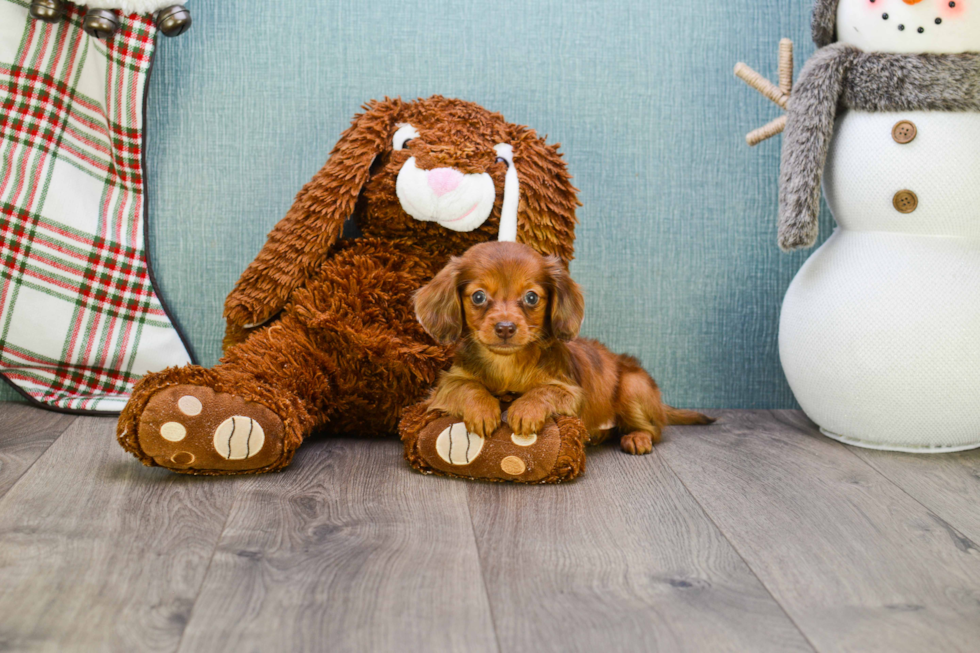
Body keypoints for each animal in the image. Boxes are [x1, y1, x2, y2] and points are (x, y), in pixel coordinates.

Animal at [414, 239, 712, 454]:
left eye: (531, 297)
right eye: (478, 296)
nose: (505, 328)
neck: (508, 364)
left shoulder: (570, 390)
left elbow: (544, 390)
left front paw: (525, 409)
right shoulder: (445, 385)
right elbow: (468, 386)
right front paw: (483, 409)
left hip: (632, 386)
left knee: (655, 430)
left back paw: (638, 437)